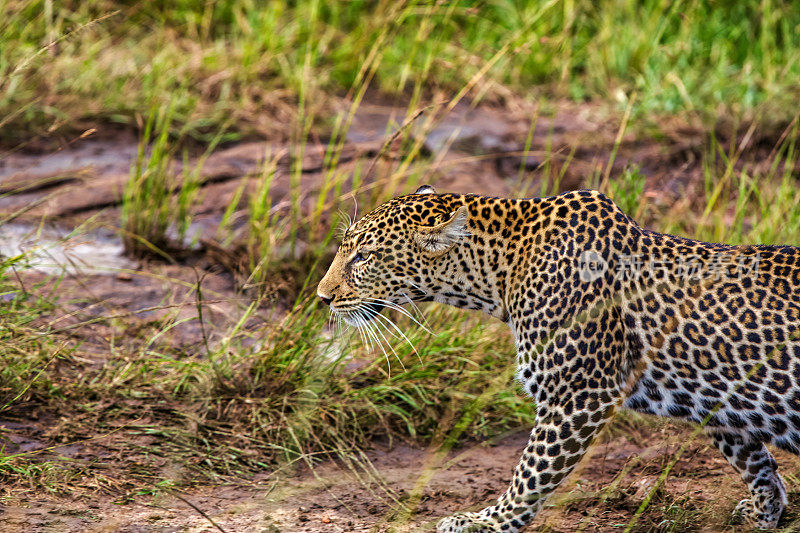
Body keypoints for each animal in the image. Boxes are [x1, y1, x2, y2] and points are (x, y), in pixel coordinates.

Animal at [314, 185, 800, 528]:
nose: (322, 297)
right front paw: (766, 512)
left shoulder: (577, 395)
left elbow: (531, 474)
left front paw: (485, 523)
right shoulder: (718, 394)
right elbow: (753, 458)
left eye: (363, 257)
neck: (502, 273)